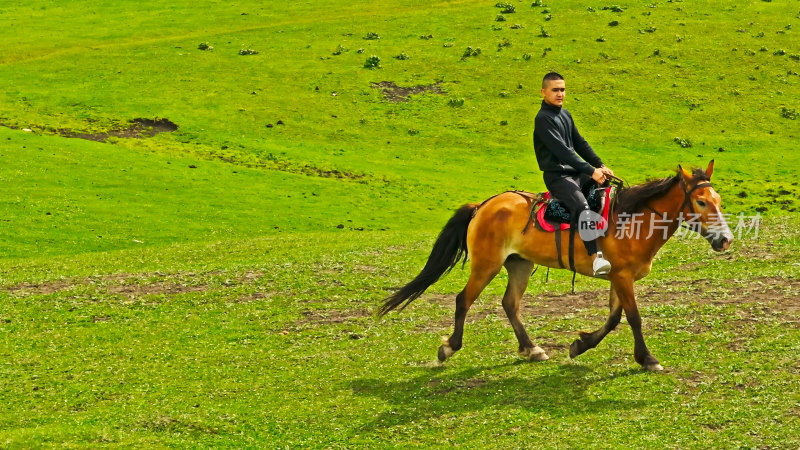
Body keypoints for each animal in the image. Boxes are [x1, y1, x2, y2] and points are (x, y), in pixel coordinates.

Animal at [380, 160, 732, 370]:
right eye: (701, 202)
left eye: (718, 201)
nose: (726, 240)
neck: (633, 219)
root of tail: (484, 205)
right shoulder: (622, 276)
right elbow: (632, 318)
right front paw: (647, 358)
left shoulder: (620, 277)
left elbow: (614, 318)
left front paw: (580, 345)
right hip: (485, 266)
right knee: (463, 300)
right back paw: (449, 348)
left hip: (519, 265)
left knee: (510, 304)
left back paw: (531, 348)